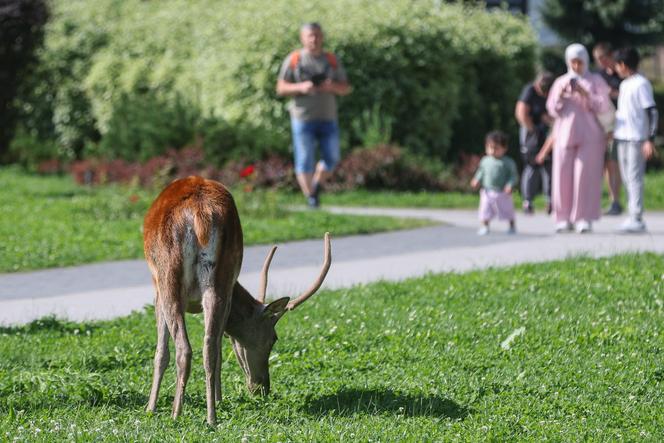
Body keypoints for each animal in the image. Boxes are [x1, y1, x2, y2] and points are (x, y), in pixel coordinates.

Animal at [145, 175, 332, 424]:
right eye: (274, 338)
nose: (263, 388)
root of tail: (200, 213)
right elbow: (220, 347)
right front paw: (219, 398)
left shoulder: (156, 288)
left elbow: (160, 352)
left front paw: (150, 407)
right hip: (220, 280)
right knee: (210, 347)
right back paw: (212, 417)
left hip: (168, 277)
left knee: (184, 348)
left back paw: (177, 413)